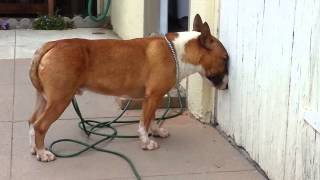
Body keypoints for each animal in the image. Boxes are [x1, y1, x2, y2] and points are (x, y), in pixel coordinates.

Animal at [27, 14, 228, 162]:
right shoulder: (153, 96)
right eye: (225, 59)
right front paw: (146, 142)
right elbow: (143, 123)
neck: (177, 51)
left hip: (44, 99)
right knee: (40, 126)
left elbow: (152, 118)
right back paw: (43, 153)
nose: (227, 86)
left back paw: (35, 149)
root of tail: (51, 45)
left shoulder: (154, 98)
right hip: (60, 100)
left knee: (31, 122)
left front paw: (156, 132)